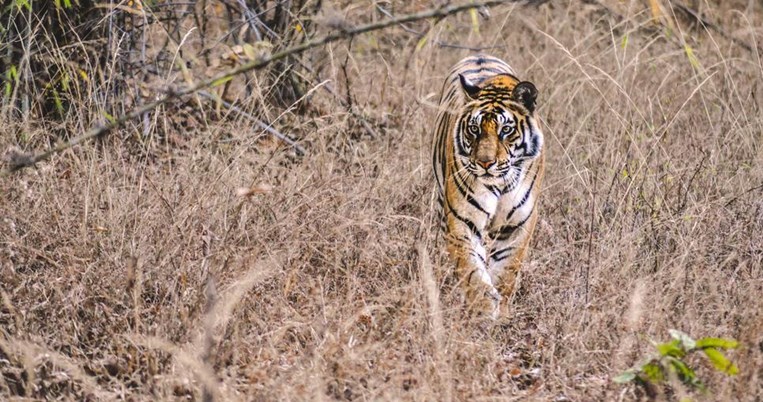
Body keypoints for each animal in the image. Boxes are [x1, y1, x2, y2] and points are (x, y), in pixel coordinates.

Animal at [432, 55, 548, 318]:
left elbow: (507, 270)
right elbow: (472, 270)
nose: (485, 163)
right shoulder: (462, 221)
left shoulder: (518, 224)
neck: (500, 183)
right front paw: (483, 309)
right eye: (474, 129)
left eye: (506, 130)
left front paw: (501, 311)